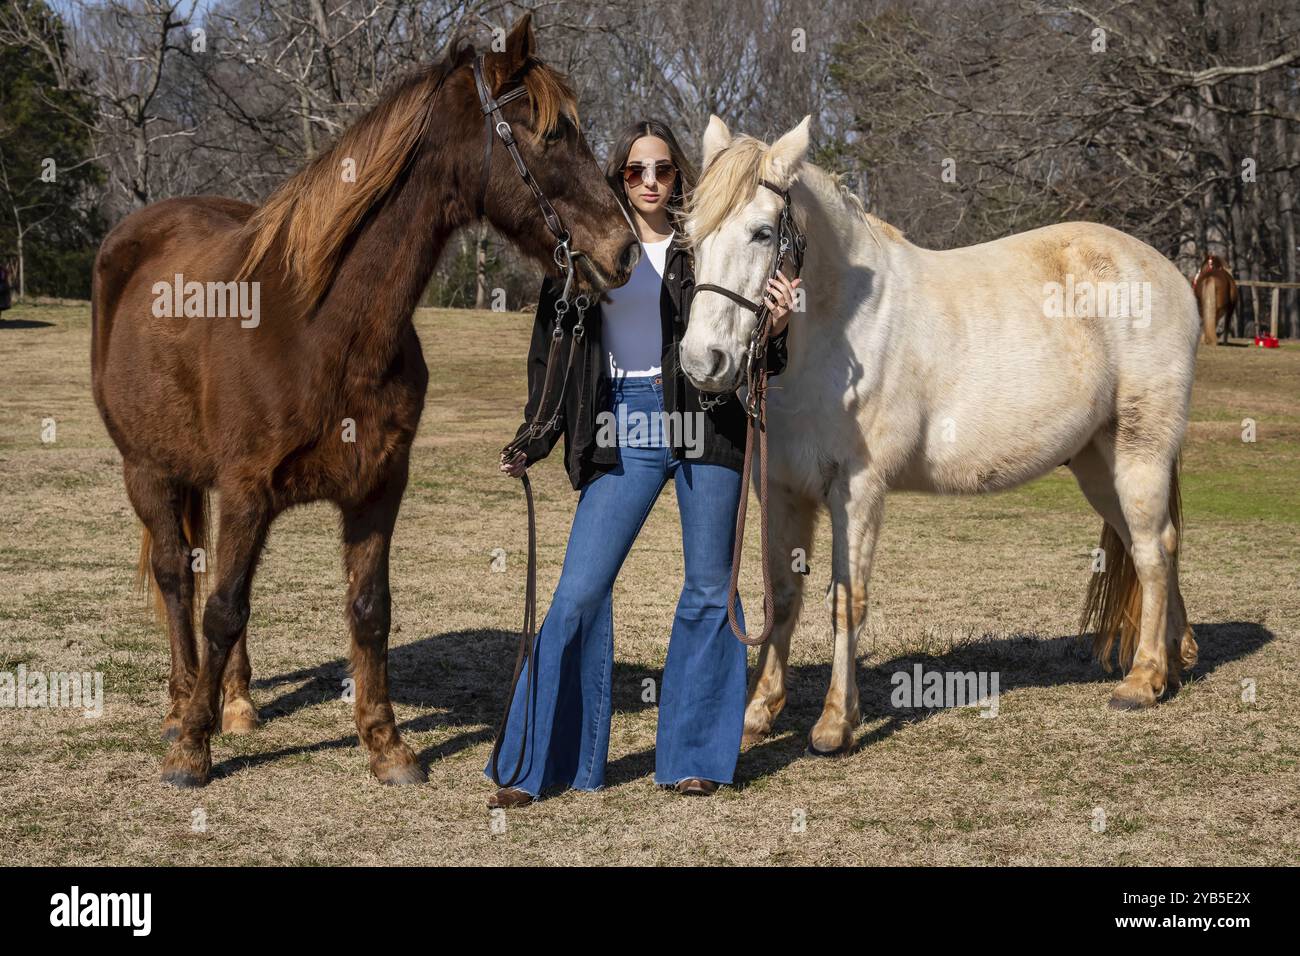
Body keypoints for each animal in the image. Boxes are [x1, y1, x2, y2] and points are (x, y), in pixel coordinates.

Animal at [90, 14, 637, 788]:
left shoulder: (377, 486)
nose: (622, 251)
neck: (321, 325)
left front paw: (386, 745)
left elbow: (368, 608)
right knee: (177, 579)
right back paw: (181, 705)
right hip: (148, 470)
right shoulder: (248, 489)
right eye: (553, 134)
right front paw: (191, 750)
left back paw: (235, 703)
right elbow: (222, 607)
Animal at [680, 116, 1201, 755]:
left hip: (1140, 452)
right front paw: (757, 713)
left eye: (759, 233)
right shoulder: (781, 489)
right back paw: (1177, 657)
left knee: (1153, 549)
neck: (840, 328)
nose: (703, 361)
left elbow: (846, 600)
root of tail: (1169, 274)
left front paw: (835, 723)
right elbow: (781, 594)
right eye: (692, 235)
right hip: (1097, 464)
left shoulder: (857, 490)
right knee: (1149, 544)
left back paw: (1144, 679)